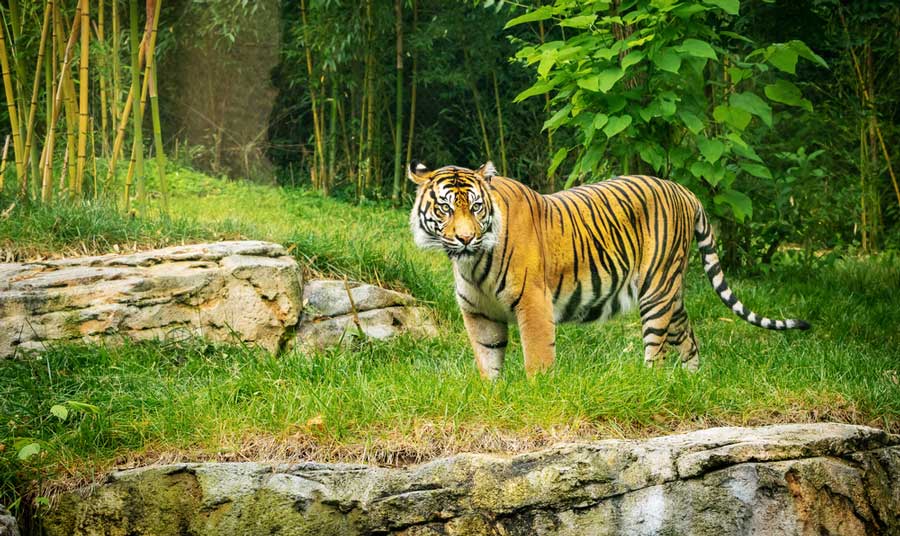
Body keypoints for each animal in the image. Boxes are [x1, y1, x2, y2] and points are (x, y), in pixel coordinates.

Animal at [408, 161, 810, 379]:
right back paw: (693, 381)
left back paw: (650, 383)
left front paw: (538, 392)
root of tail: (685, 191)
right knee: (687, 335)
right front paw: (493, 392)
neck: (472, 262)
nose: (465, 238)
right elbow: (488, 357)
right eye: (446, 209)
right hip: (672, 293)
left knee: (657, 348)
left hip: (656, 288)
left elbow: (537, 357)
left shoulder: (533, 304)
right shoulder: (479, 312)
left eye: (476, 207)